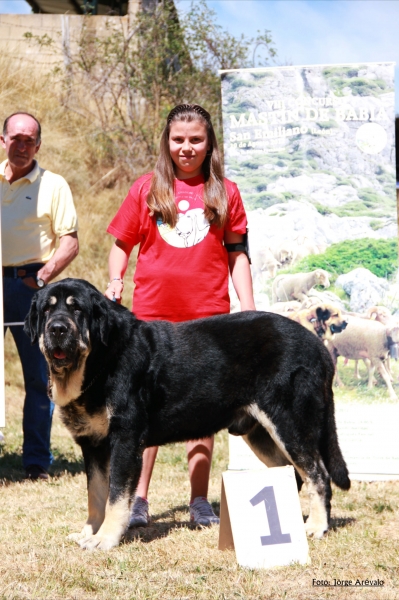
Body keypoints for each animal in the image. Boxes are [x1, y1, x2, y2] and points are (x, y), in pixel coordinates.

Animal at [24, 278, 350, 552]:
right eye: (47, 309)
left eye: (77, 309)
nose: (57, 329)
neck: (99, 361)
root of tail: (318, 346)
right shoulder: (92, 445)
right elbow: (96, 496)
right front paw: (89, 532)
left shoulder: (125, 440)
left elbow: (116, 497)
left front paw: (105, 539)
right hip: (260, 432)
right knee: (293, 474)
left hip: (290, 424)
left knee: (317, 475)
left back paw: (315, 527)